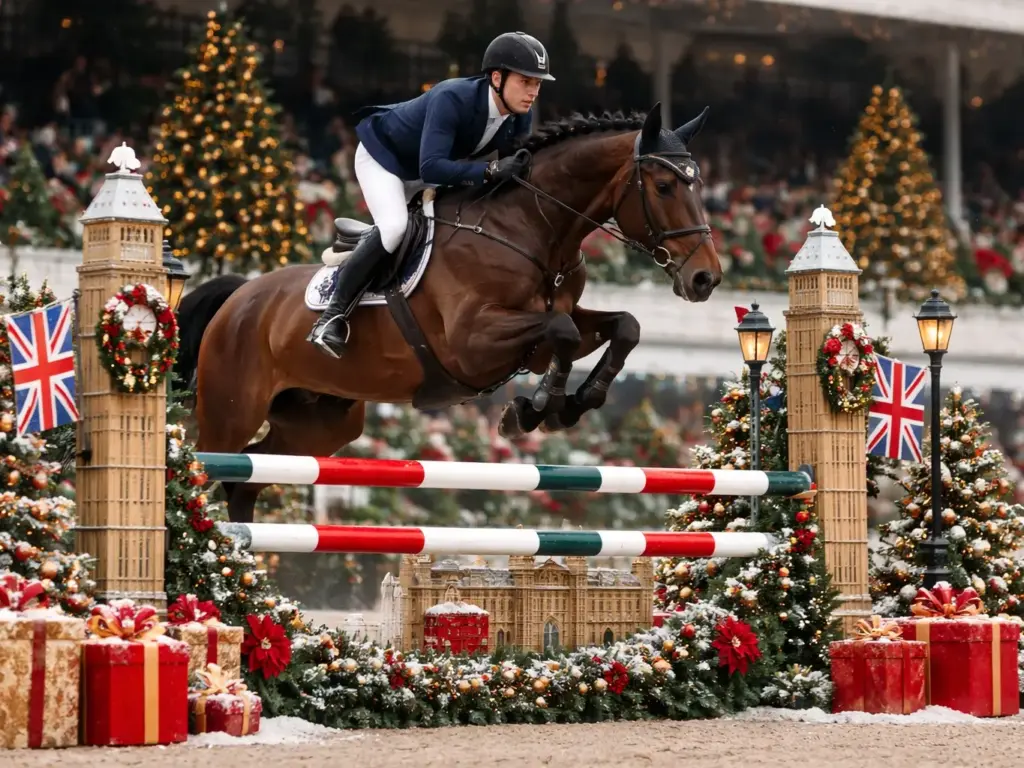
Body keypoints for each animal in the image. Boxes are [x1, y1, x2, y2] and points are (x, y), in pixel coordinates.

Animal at [175, 104, 724, 524]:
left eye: (698, 187)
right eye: (664, 187)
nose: (707, 279)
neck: (530, 230)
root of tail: (238, 296)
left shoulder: (550, 325)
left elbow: (622, 326)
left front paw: (573, 401)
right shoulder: (471, 343)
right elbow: (562, 331)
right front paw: (536, 407)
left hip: (321, 423)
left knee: (248, 481)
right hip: (231, 413)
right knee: (213, 468)